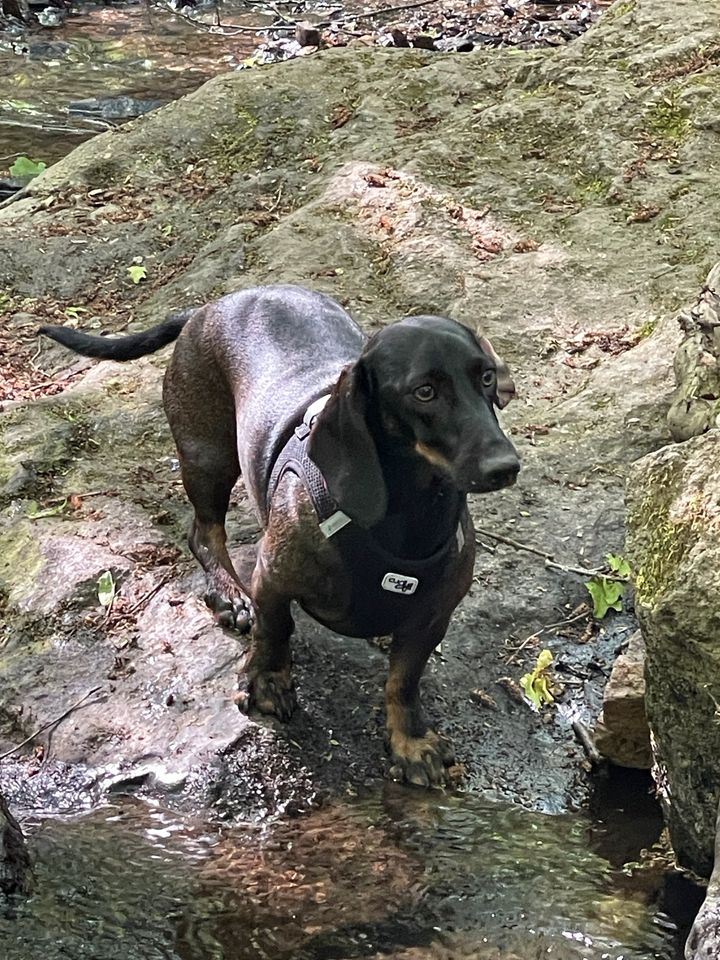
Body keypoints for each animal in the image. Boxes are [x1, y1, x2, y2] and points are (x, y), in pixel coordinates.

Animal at [39, 284, 520, 788]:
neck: (406, 514)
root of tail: (209, 307)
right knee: (204, 532)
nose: (505, 466)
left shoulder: (432, 617)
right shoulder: (272, 577)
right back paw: (230, 594)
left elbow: (403, 681)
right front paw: (267, 682)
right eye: (424, 392)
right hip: (209, 458)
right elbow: (275, 629)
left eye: (487, 377)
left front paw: (410, 742)